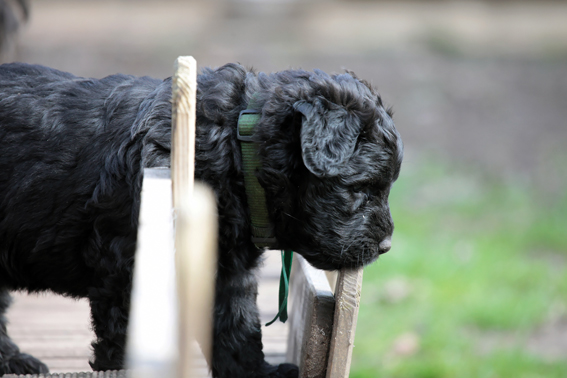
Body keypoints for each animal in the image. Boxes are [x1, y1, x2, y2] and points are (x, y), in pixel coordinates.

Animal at [0, 62, 404, 378]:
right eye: (361, 187)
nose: (387, 247)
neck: (237, 150)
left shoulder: (226, 269)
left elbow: (238, 327)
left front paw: (258, 372)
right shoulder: (126, 268)